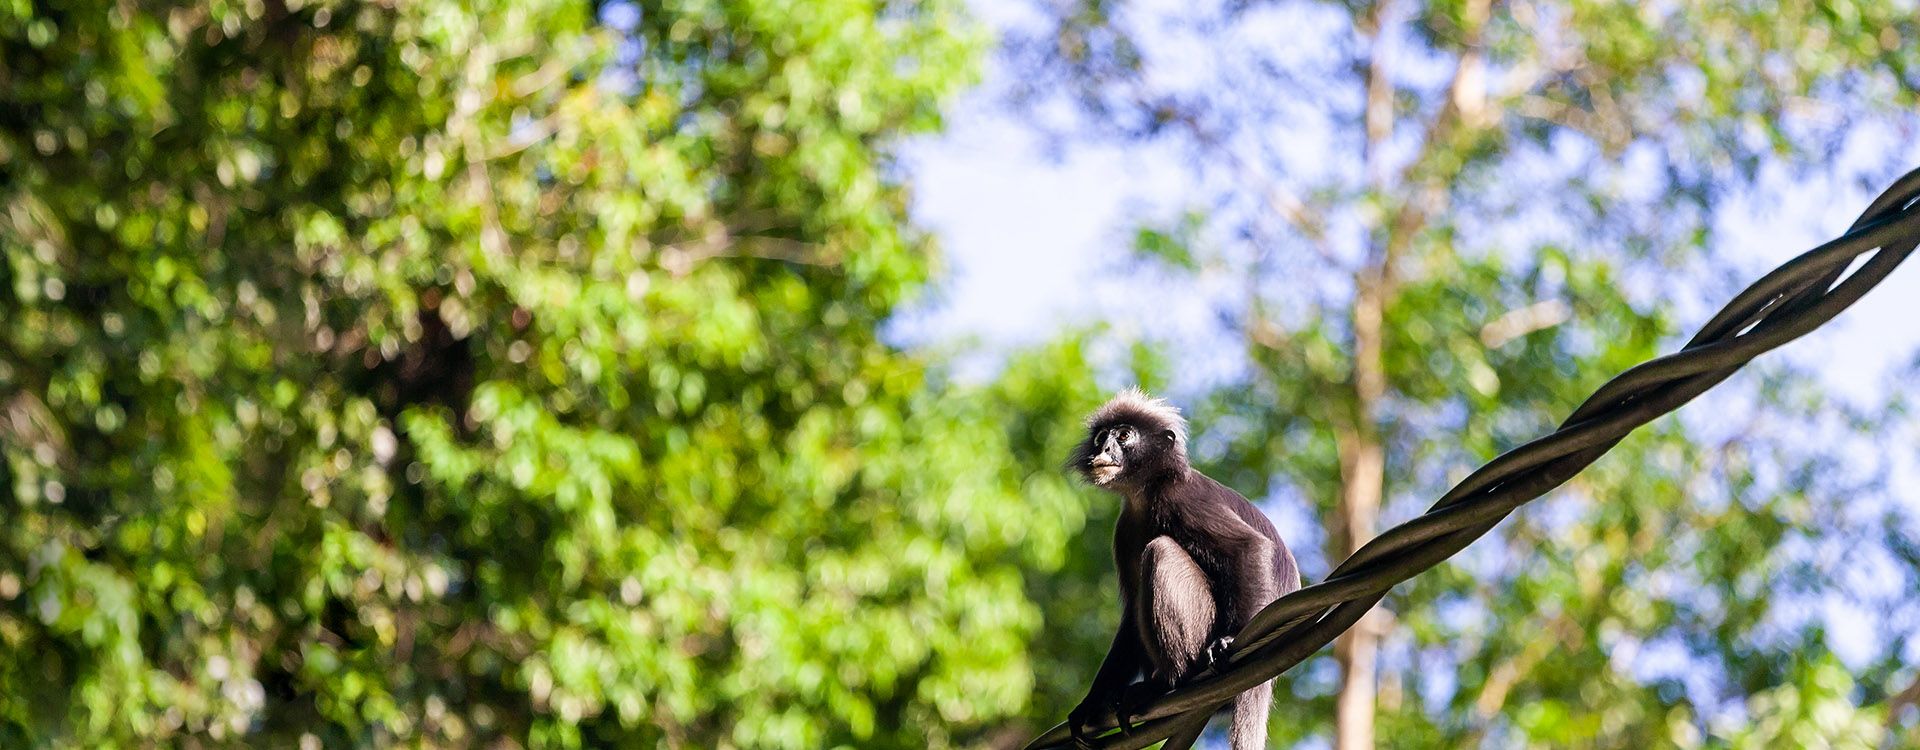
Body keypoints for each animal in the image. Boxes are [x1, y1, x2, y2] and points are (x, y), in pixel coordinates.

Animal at [1067, 391, 1305, 748]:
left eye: (1123, 436)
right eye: (1101, 437)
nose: (1104, 449)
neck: (1147, 492)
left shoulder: (1182, 498)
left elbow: (1247, 547)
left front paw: (1228, 639)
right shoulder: (1124, 530)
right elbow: (1130, 614)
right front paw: (1089, 704)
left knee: (1161, 551)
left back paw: (1169, 682)